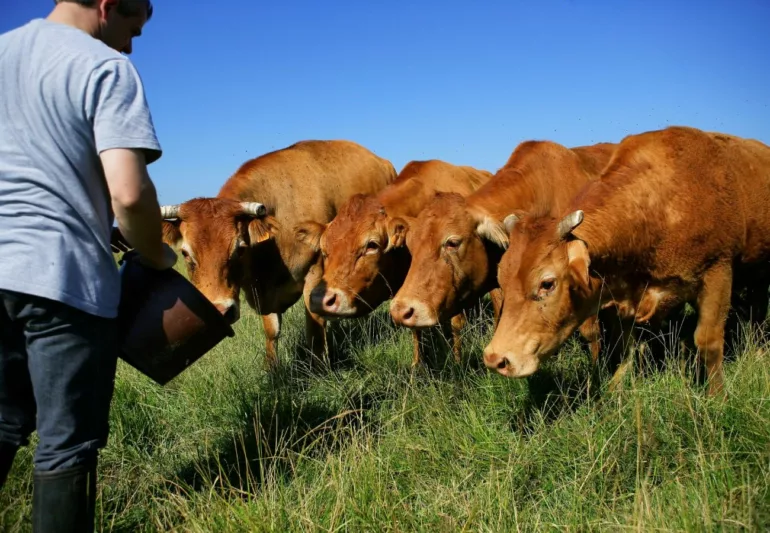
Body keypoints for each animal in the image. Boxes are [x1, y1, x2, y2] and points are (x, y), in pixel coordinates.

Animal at [158, 140, 398, 368]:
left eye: (240, 248)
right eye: (185, 253)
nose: (221, 311)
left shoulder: (315, 272)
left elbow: (314, 324)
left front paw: (319, 366)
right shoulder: (262, 292)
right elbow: (272, 331)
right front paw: (272, 369)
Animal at [294, 159, 494, 366]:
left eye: (372, 245)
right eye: (324, 250)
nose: (319, 299)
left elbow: (456, 324)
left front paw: (457, 362)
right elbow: (414, 327)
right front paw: (417, 366)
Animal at [483, 125, 770, 397]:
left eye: (547, 284)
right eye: (502, 281)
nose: (496, 358)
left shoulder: (717, 273)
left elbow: (708, 342)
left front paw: (717, 396)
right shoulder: (623, 297)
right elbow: (624, 345)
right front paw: (615, 389)